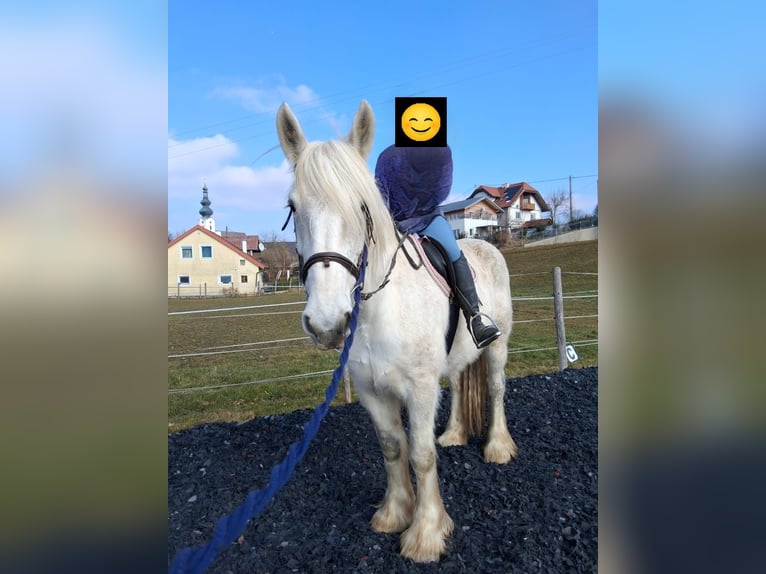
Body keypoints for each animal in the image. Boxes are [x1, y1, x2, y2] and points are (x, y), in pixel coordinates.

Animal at [276, 100, 518, 563]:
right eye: (294, 208)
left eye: (362, 207)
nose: (328, 323)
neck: (378, 314)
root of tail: (487, 244)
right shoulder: (372, 390)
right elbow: (392, 447)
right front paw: (394, 514)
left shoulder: (419, 390)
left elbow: (421, 455)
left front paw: (425, 533)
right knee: (458, 385)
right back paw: (455, 434)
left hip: (497, 348)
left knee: (495, 389)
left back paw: (497, 447)